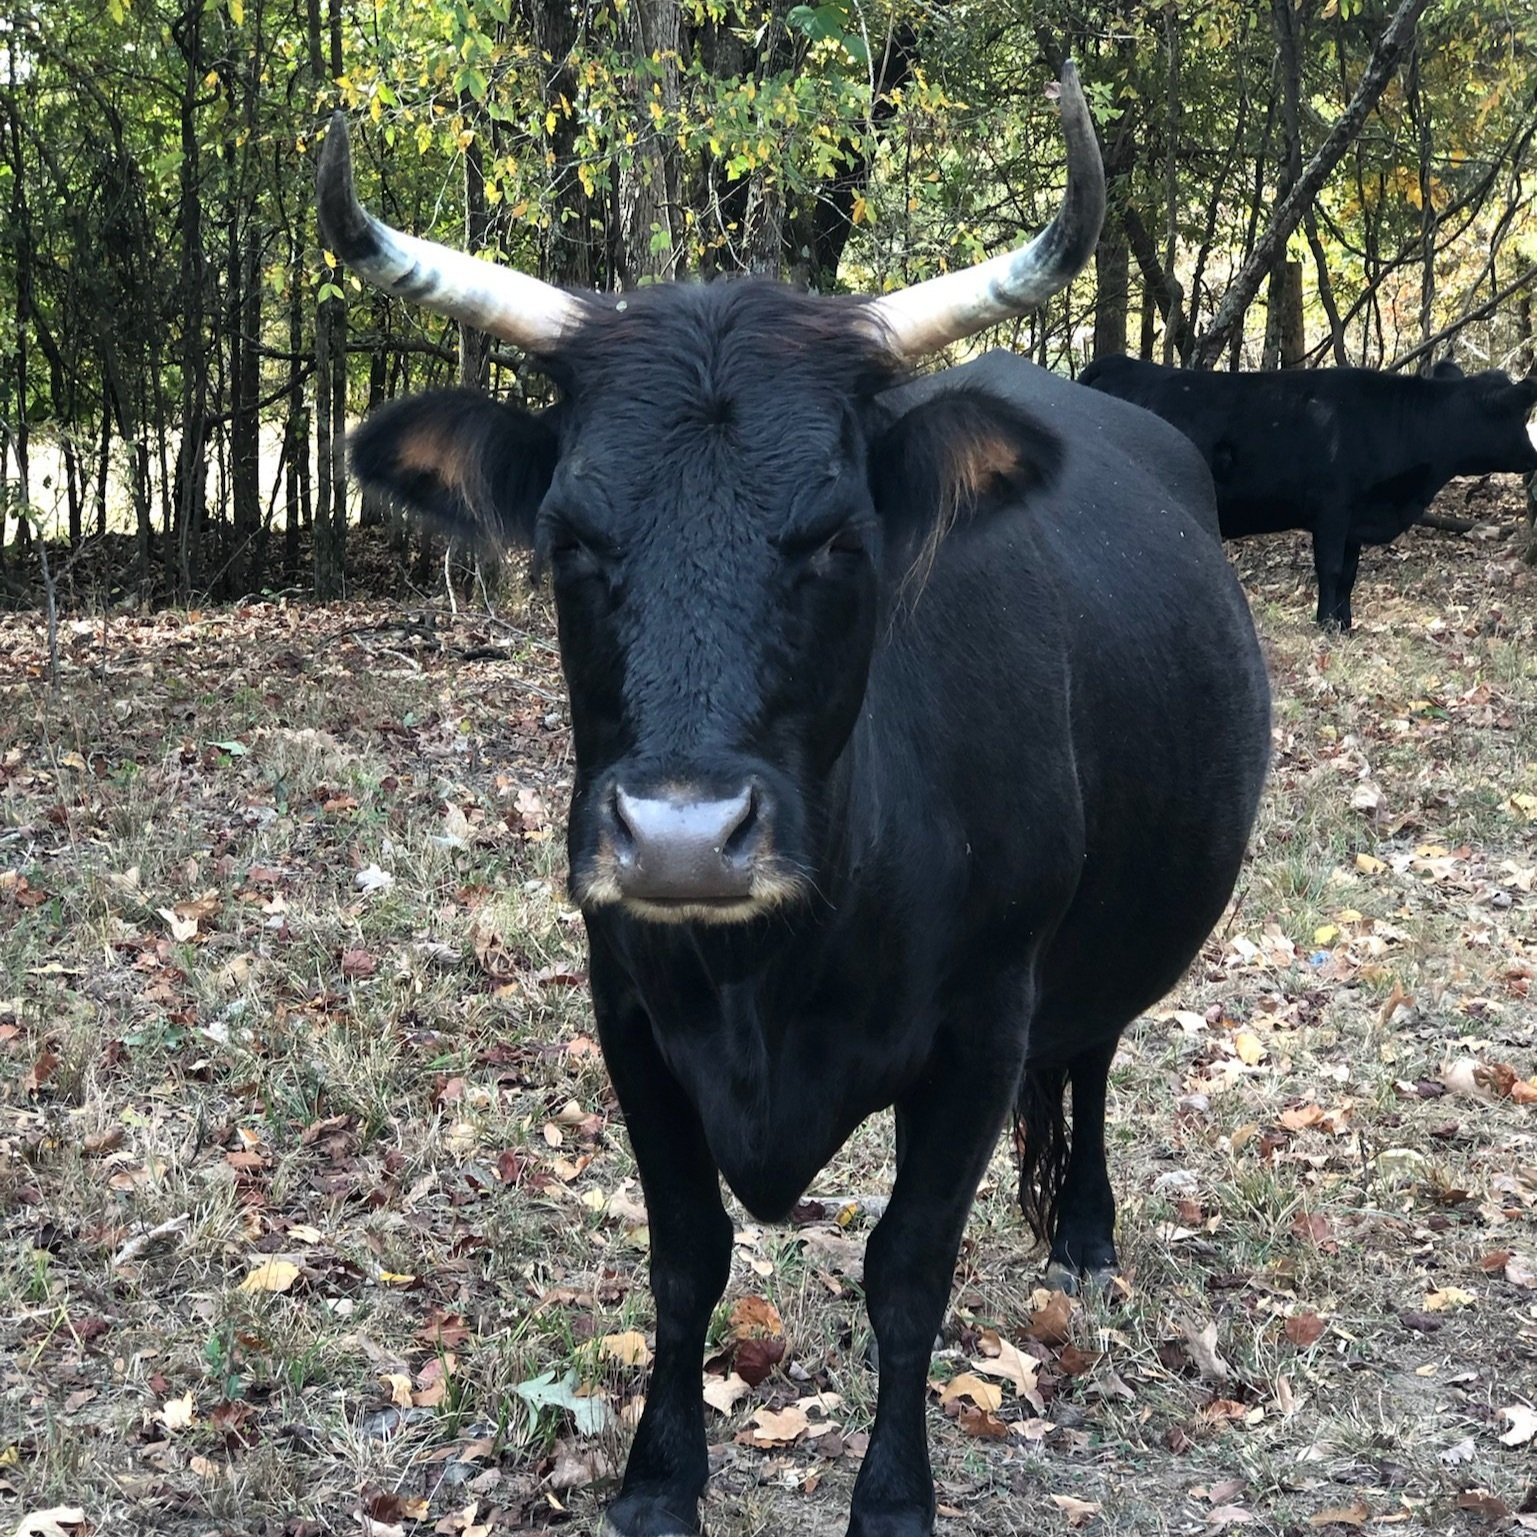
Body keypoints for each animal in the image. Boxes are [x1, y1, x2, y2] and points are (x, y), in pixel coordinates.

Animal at [319, 65, 1270, 1537]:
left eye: (835, 534)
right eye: (572, 538)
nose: (682, 838)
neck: (769, 977)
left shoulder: (982, 1025)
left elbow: (906, 1267)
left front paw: (891, 1497)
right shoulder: (629, 1008)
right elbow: (685, 1254)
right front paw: (658, 1480)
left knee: (1093, 1053)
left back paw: (1083, 1236)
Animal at [1078, 354, 1537, 629]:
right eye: (1518, 414)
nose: (1534, 457)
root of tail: (1116, 363)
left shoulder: (1355, 520)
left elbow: (1349, 575)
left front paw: (1345, 625)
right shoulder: (1332, 509)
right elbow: (1330, 569)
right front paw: (1326, 625)